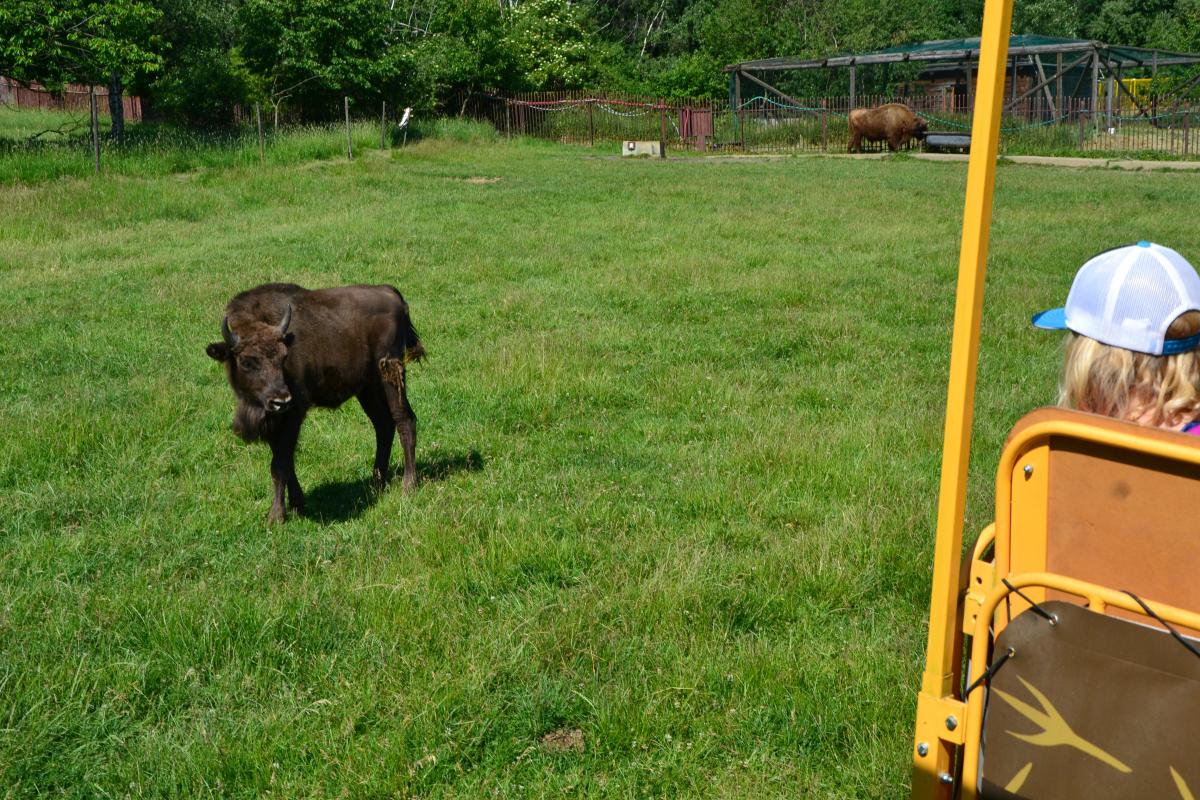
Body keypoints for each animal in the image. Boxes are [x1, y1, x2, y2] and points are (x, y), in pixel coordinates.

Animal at [205, 283, 425, 523]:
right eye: (246, 361)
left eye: (283, 357)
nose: (281, 400)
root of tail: (390, 292)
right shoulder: (276, 424)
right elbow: (286, 462)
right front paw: (297, 505)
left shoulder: (293, 415)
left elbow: (279, 465)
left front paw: (276, 516)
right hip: (368, 388)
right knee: (383, 426)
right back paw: (376, 483)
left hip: (390, 376)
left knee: (405, 421)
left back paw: (408, 486)